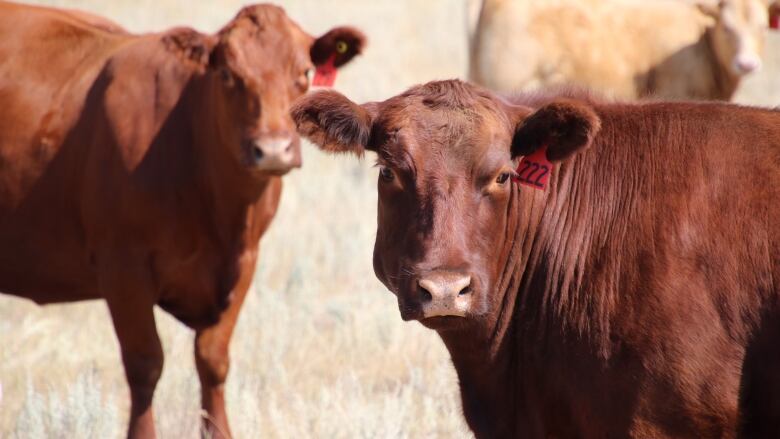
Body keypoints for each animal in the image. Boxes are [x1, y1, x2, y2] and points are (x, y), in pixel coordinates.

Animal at [0, 3, 366, 439]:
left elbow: (213, 360)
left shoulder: (244, 263)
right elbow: (145, 364)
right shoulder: (122, 267)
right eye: (227, 75)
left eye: (305, 72)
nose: (274, 149)